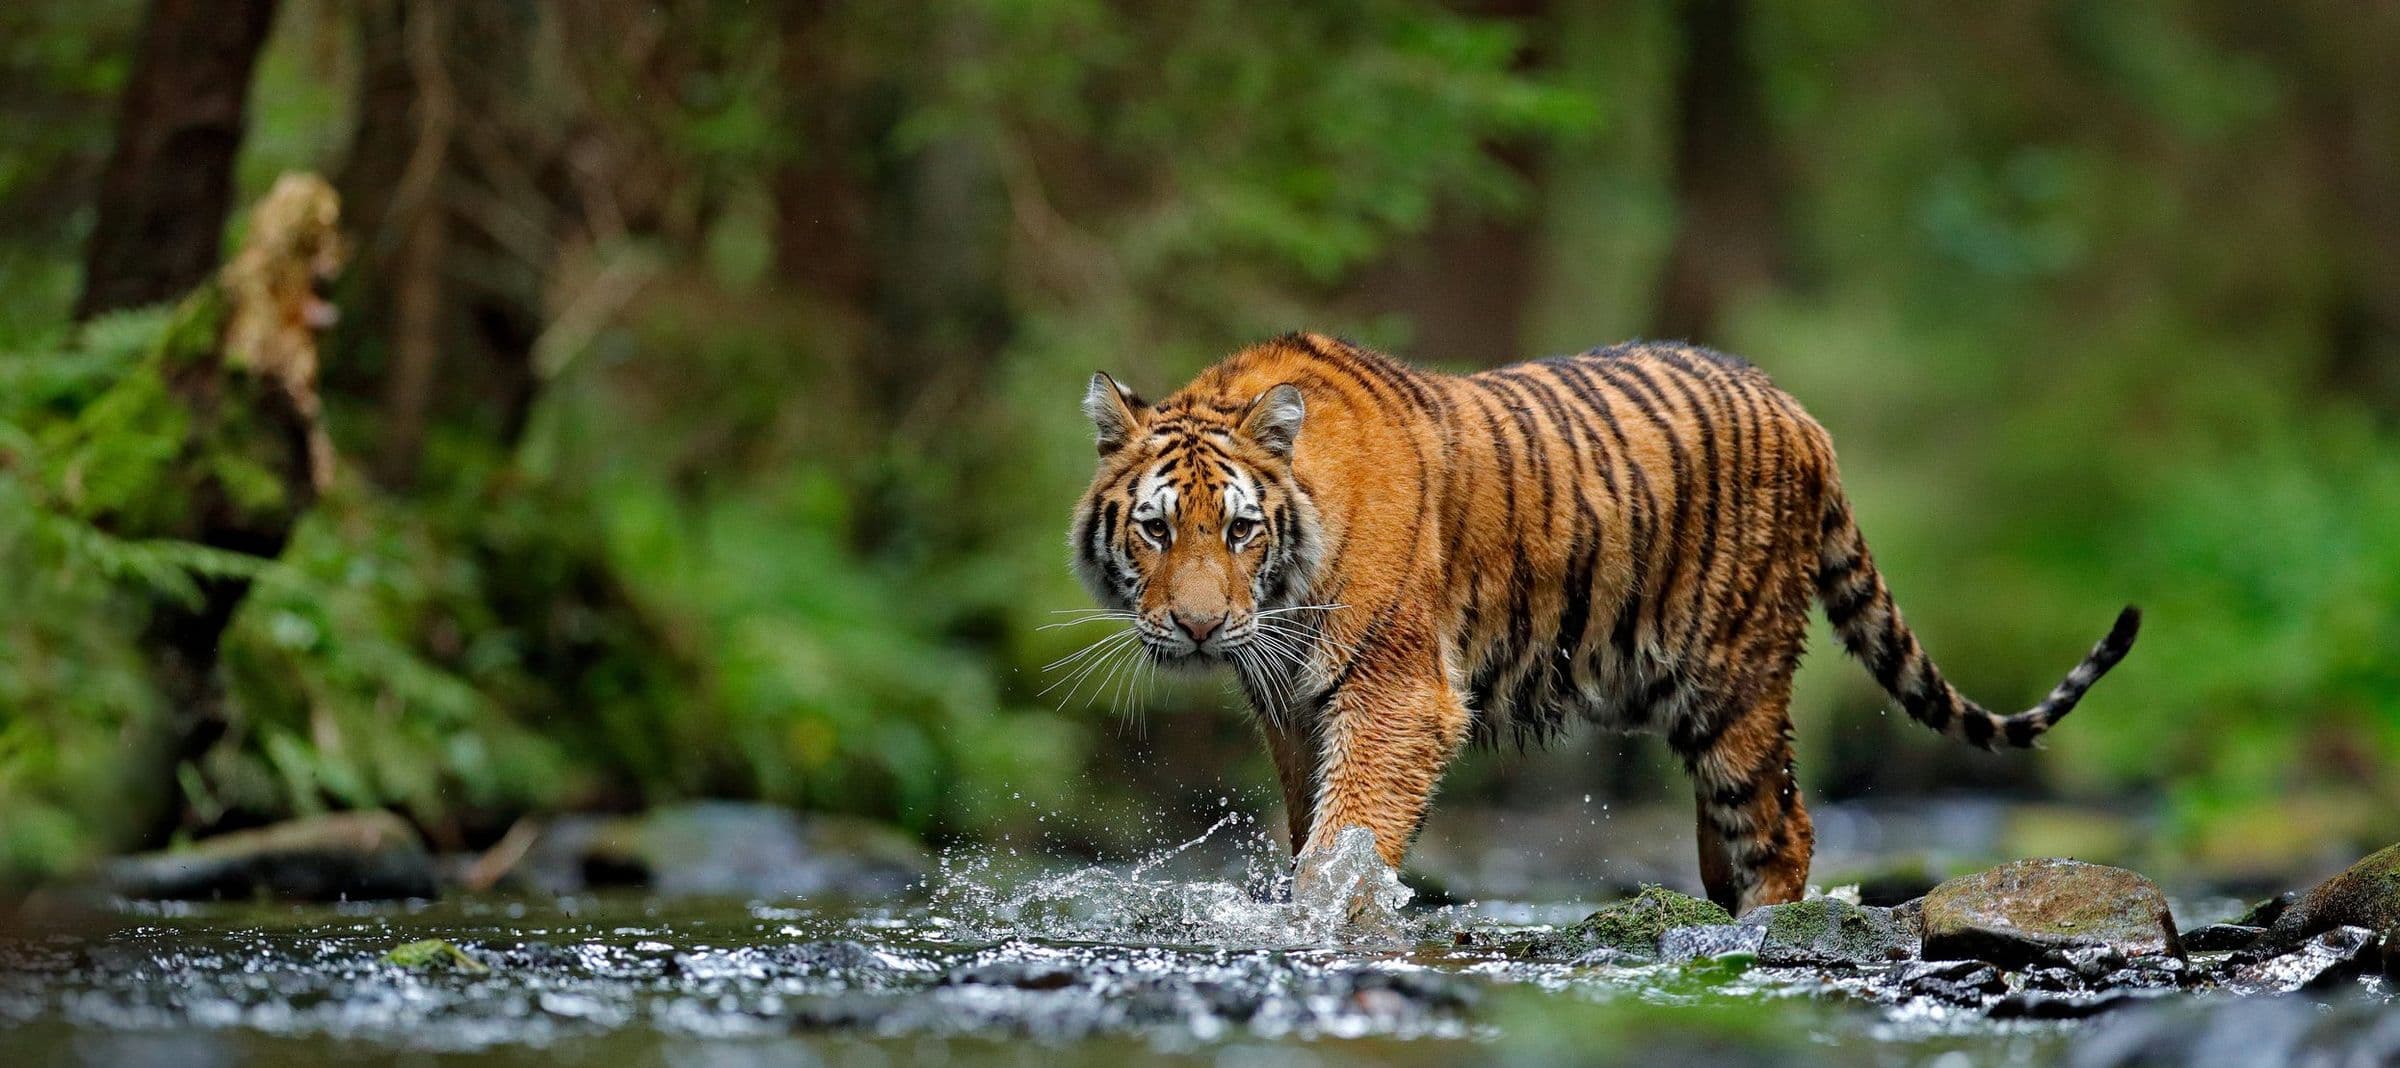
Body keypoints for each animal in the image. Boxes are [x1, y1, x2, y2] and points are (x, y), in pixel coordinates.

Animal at [1067, 332, 2139, 914]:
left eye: (1240, 529)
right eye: (1156, 529)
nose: (1199, 629)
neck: (1284, 595)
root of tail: (1800, 412)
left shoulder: (1396, 696)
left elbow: (1347, 838)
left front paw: (1327, 921)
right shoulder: (1293, 710)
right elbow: (1312, 832)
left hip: (1736, 680)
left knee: (1783, 826)